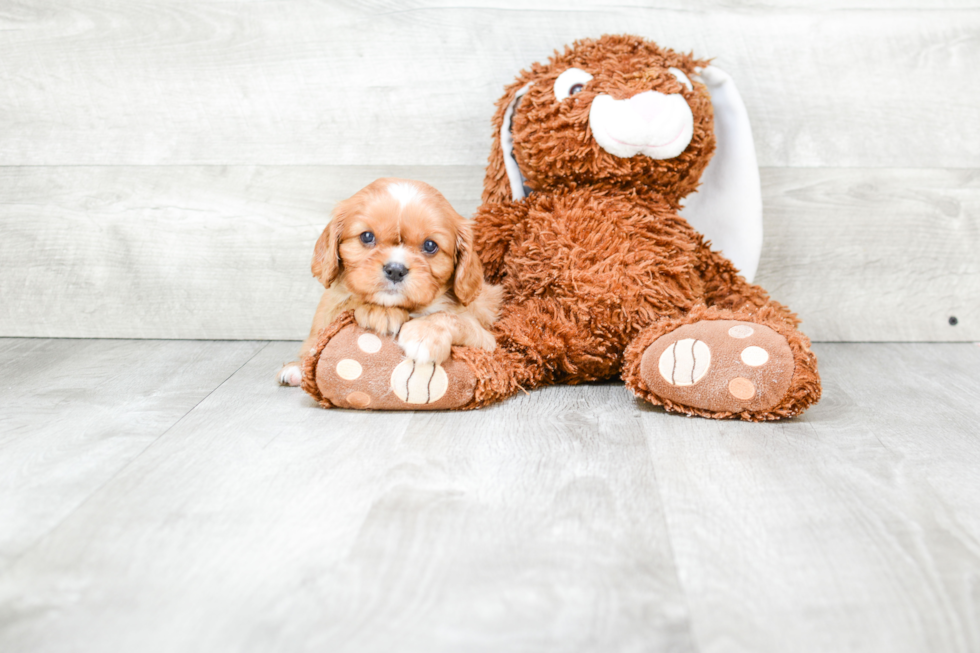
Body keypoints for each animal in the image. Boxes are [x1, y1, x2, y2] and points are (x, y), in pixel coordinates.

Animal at [278, 176, 502, 384]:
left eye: (430, 245)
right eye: (367, 236)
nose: (395, 270)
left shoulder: (487, 343)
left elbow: (453, 318)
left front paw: (425, 334)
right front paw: (379, 311)